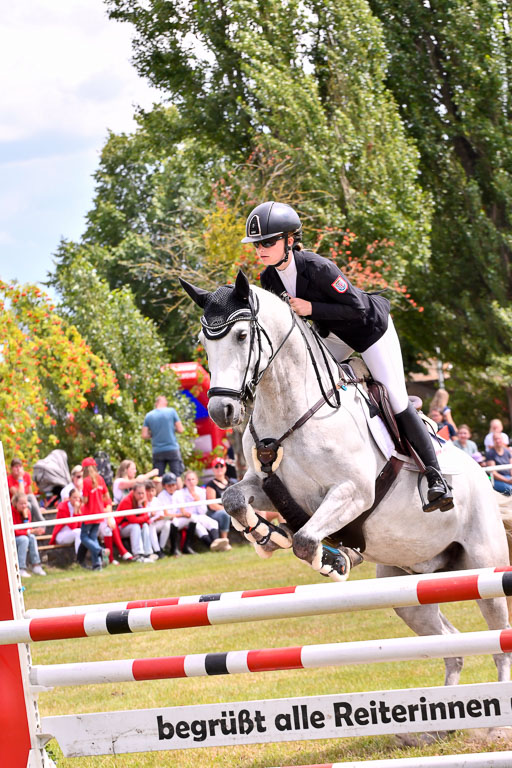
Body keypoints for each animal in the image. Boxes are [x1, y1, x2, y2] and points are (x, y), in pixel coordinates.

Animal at [182, 272, 510, 684]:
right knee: (452, 645)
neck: (292, 411)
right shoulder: (269, 488)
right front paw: (267, 536)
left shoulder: (352, 493)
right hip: (408, 584)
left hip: (483, 566)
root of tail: (485, 479)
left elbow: (306, 540)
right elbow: (233, 499)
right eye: (203, 341)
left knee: (499, 643)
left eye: (242, 336)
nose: (221, 410)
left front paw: (333, 560)